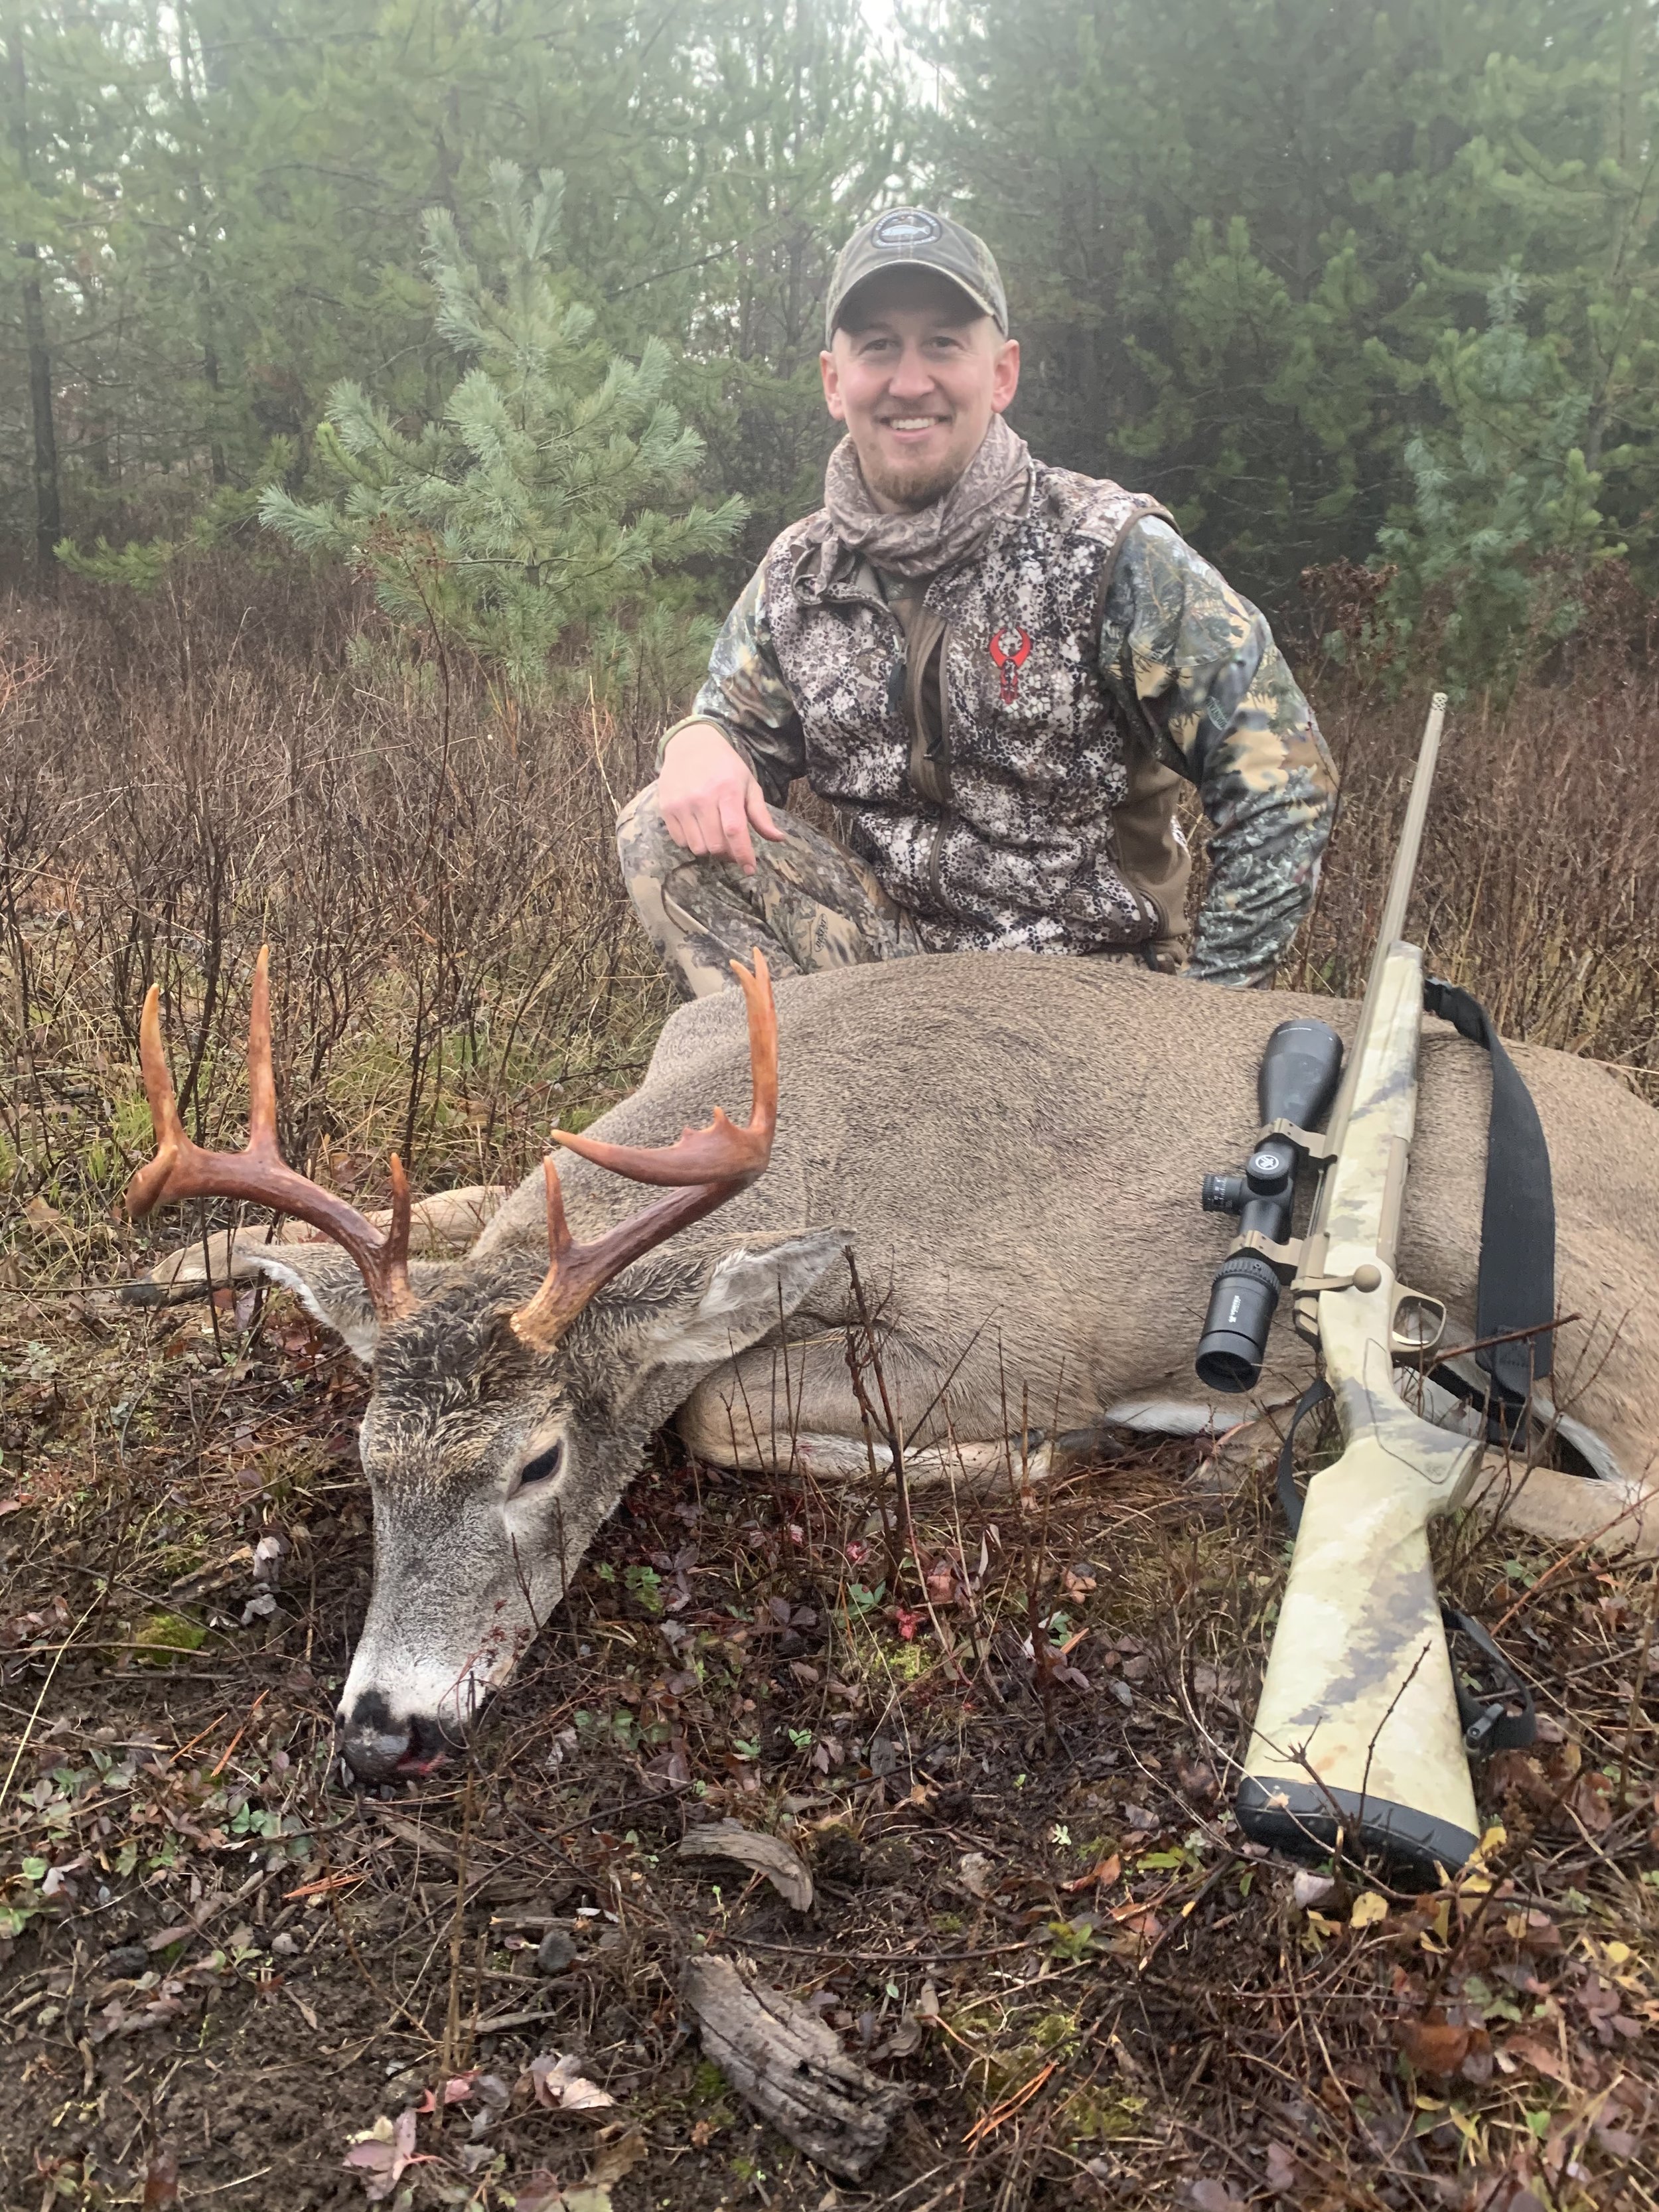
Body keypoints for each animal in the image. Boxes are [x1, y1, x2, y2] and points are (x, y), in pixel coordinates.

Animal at [126, 946, 1659, 1781]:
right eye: (367, 1458)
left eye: (540, 1459)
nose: (381, 1729)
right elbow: (460, 1196)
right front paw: (169, 1266)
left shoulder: (1019, 1326)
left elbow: (714, 1404)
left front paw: (1040, 1453)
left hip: (1552, 1268)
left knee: (1623, 1491)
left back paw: (1251, 1444)